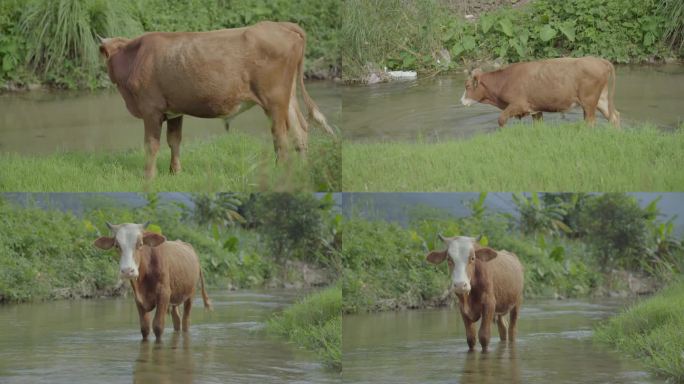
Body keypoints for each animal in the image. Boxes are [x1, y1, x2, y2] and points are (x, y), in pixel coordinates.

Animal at [100, 20, 336, 177]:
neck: (135, 58)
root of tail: (282, 25)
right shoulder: (174, 110)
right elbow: (174, 140)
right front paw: (175, 172)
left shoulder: (151, 110)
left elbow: (151, 144)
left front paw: (148, 176)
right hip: (288, 97)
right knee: (300, 129)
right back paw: (302, 168)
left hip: (274, 100)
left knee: (280, 135)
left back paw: (279, 171)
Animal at [460, 56, 620, 127]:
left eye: (467, 86)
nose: (461, 101)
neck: (505, 80)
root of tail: (599, 60)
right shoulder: (535, 109)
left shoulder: (518, 104)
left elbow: (501, 119)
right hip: (601, 100)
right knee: (614, 116)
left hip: (589, 101)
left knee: (591, 121)